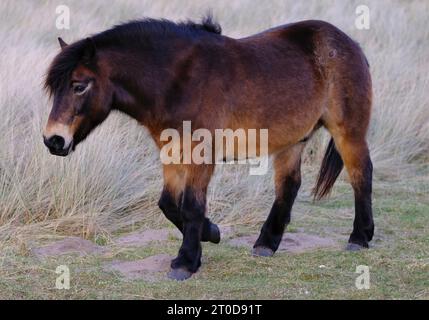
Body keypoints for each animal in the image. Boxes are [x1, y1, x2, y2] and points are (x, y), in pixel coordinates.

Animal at [42, 16, 372, 280]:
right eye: (55, 88)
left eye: (79, 85)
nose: (53, 140)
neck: (179, 82)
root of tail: (349, 43)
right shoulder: (172, 153)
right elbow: (169, 204)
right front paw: (209, 234)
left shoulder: (201, 155)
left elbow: (191, 206)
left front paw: (185, 262)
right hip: (292, 142)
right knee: (288, 186)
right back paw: (266, 244)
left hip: (348, 132)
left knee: (360, 175)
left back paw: (360, 237)